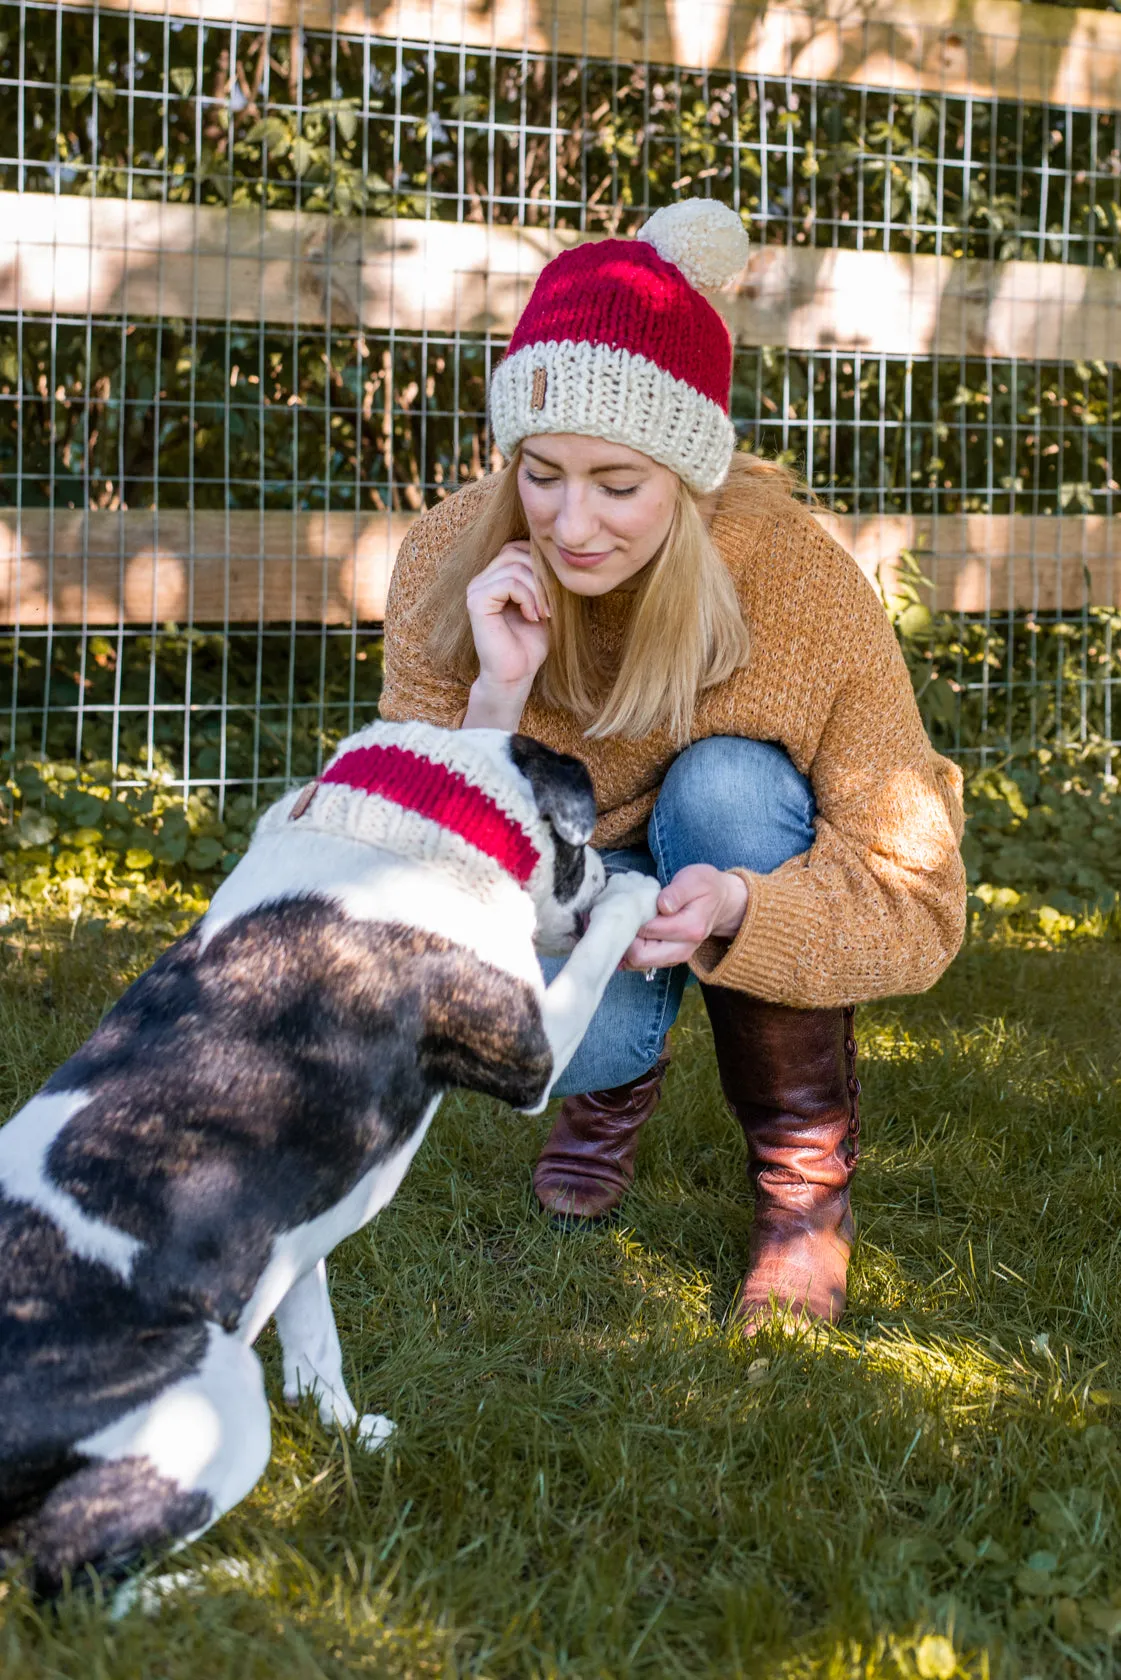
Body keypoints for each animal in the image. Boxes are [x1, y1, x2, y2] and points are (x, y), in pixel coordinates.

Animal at [0, 719, 658, 1585]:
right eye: (585, 857)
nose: (605, 873)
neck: (411, 824)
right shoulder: (532, 1051)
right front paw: (633, 895)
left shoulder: (294, 1226)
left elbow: (316, 1341)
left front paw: (347, 1433)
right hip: (213, 1401)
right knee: (68, 1577)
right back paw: (241, 1583)